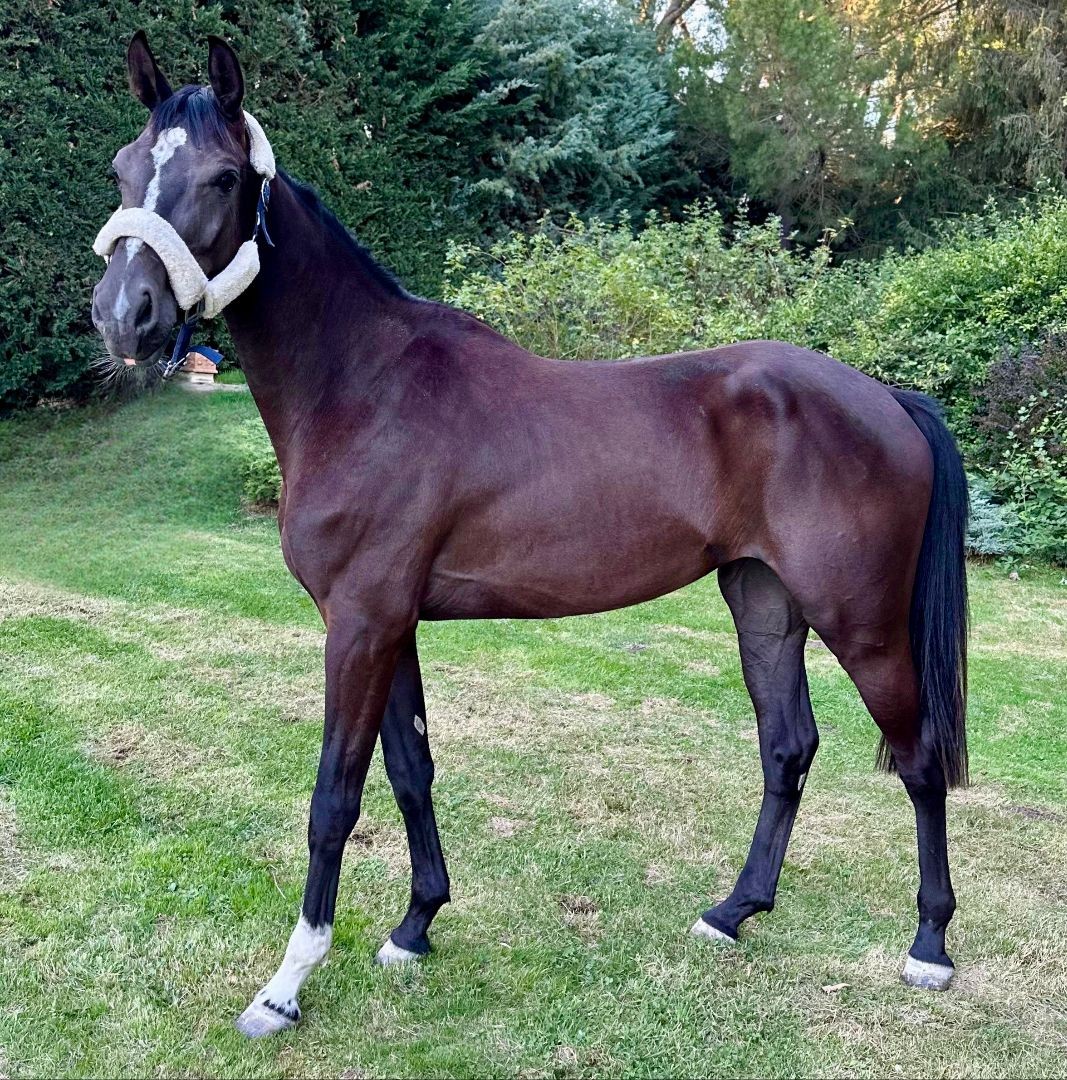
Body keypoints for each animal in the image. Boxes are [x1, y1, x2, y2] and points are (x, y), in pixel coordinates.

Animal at [90, 33, 969, 1037]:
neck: (363, 387)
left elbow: (334, 798)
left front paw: (285, 986)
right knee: (786, 748)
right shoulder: (391, 625)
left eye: (224, 177)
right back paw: (731, 912)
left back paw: (929, 947)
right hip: (763, 602)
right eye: (123, 167)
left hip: (861, 623)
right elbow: (410, 771)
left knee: (918, 760)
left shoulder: (358, 624)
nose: (123, 315)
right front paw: (415, 927)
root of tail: (884, 398)